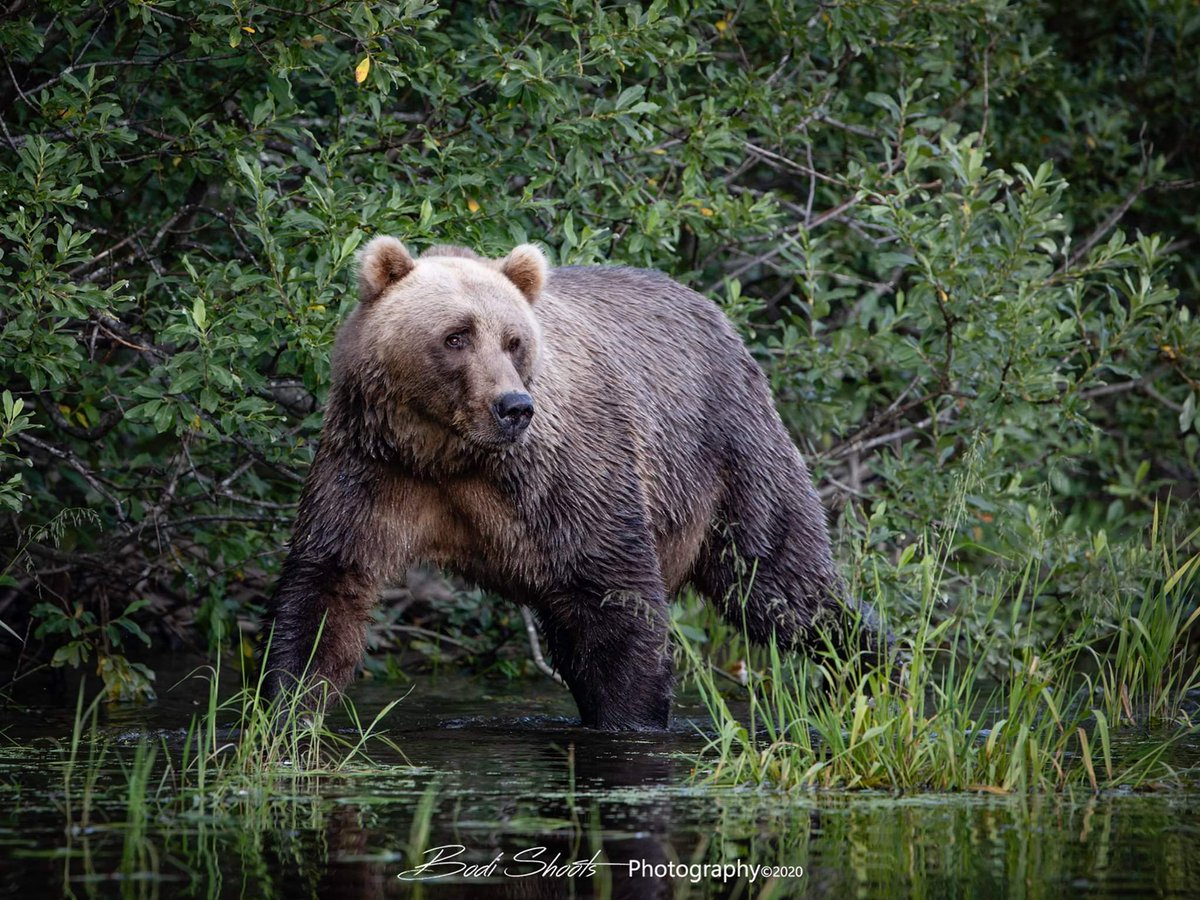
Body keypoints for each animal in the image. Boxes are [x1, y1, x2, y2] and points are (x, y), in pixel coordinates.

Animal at [261, 237, 890, 730]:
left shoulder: (567, 480)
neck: (450, 454)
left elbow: (616, 602)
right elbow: (327, 589)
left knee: (781, 582)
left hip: (730, 455)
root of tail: (712, 309)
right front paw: (286, 715)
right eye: (456, 336)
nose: (513, 406)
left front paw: (631, 718)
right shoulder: (375, 472)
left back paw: (876, 667)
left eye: (514, 340)